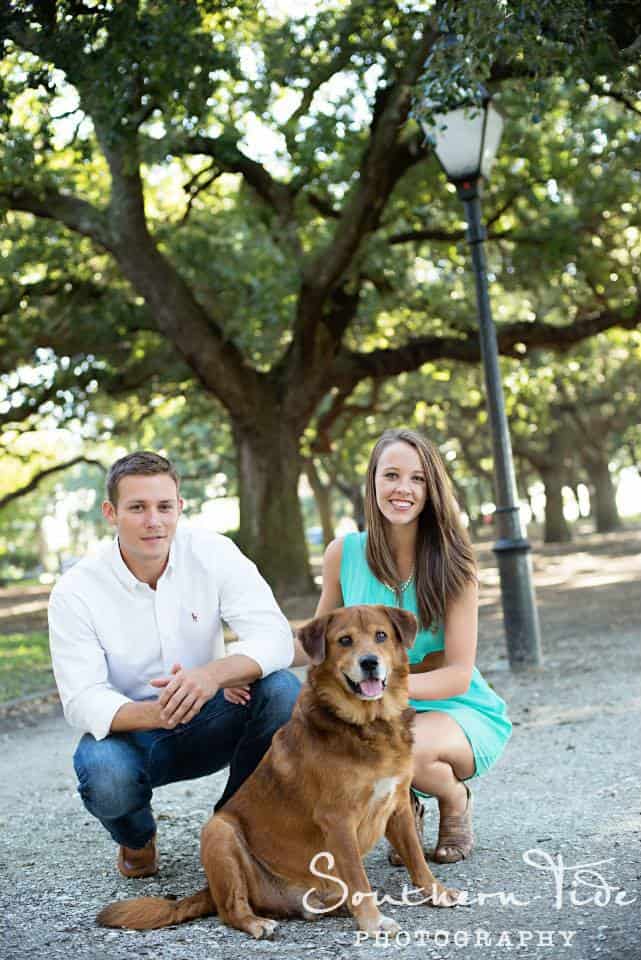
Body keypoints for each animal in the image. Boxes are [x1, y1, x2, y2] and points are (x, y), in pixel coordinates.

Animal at [96, 608, 460, 936]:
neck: (368, 724)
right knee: (231, 909)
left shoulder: (397, 807)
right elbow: (359, 879)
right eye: (344, 640)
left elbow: (417, 860)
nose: (369, 662)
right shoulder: (338, 820)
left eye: (381, 636)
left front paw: (437, 892)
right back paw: (256, 923)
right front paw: (373, 923)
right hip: (219, 832)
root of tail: (208, 890)